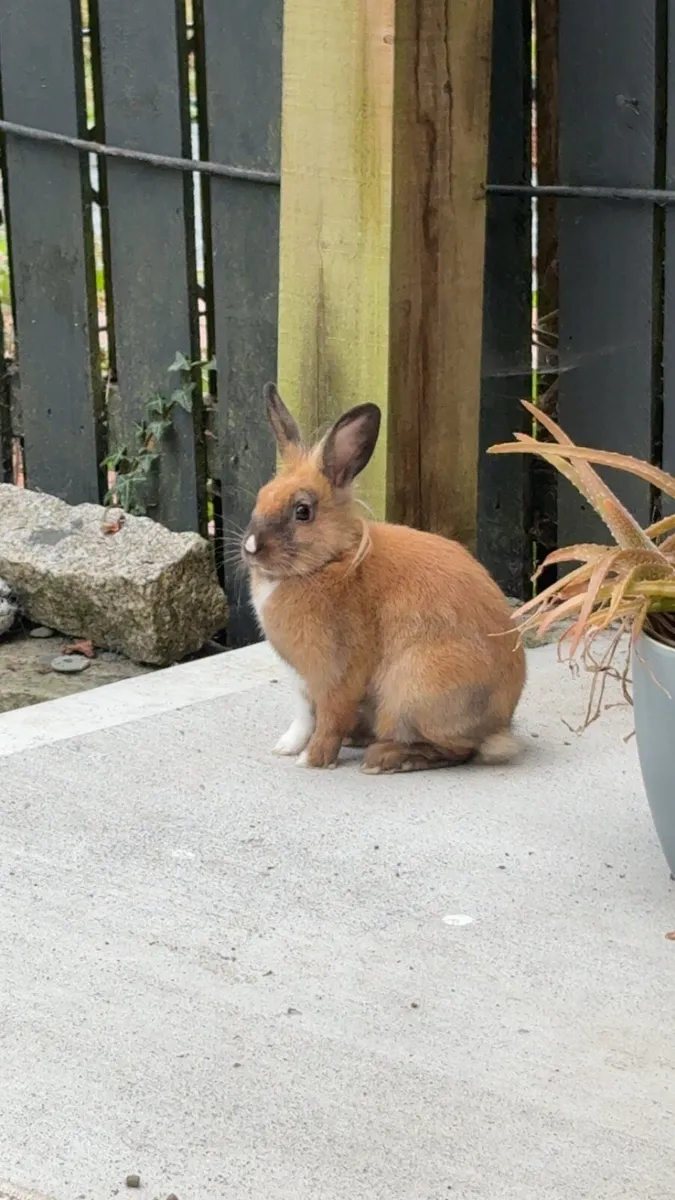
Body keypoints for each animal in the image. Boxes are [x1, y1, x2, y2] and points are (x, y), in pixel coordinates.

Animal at [241, 383, 526, 773]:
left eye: (303, 511)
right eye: (260, 497)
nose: (250, 547)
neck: (329, 561)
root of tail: (500, 725)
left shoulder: (335, 674)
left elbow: (328, 719)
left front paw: (311, 760)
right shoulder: (303, 683)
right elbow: (304, 718)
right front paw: (286, 748)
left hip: (411, 695)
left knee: (459, 751)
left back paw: (385, 759)